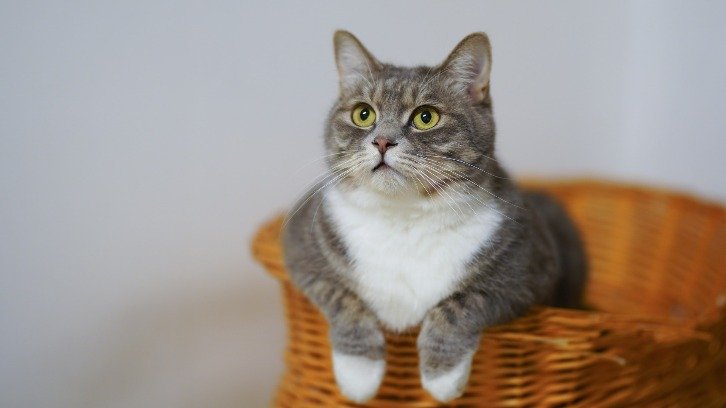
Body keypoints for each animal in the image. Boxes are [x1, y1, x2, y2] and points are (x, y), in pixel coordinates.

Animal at [282, 30, 588, 404]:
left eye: (425, 117)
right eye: (363, 114)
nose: (382, 141)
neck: (405, 217)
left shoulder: (527, 266)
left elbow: (462, 302)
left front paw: (443, 376)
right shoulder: (301, 245)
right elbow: (341, 296)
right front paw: (359, 372)